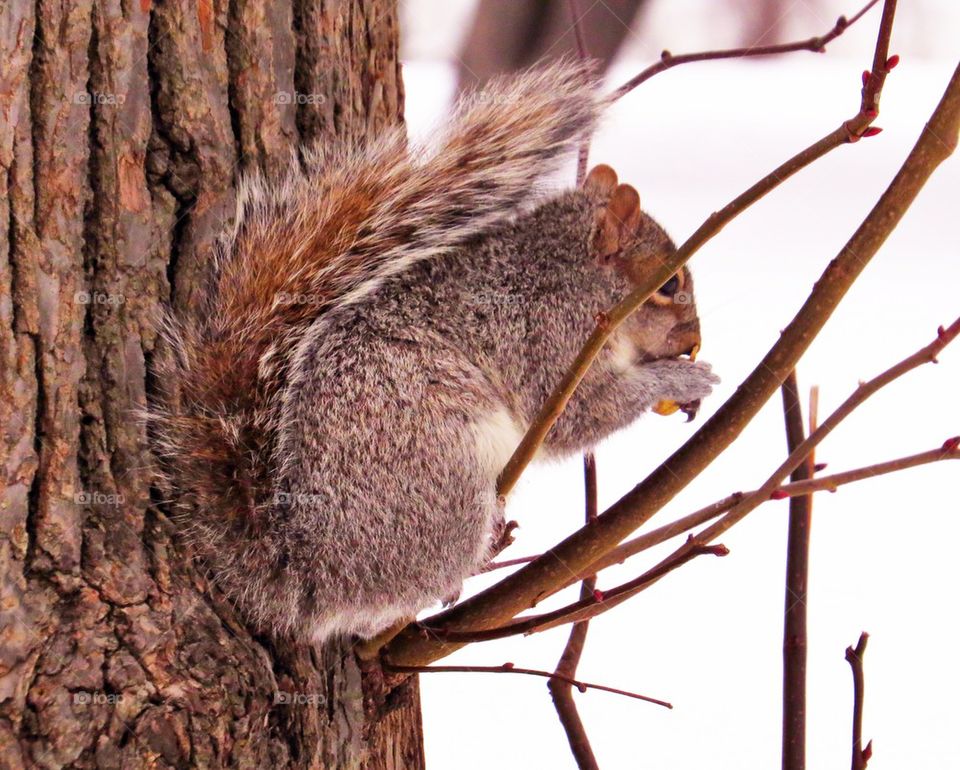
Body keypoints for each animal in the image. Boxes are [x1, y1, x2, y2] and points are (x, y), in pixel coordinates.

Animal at [152, 59, 718, 642]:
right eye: (670, 285)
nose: (693, 340)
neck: (575, 276)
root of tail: (310, 572)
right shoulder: (551, 338)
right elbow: (577, 417)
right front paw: (684, 379)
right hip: (443, 470)